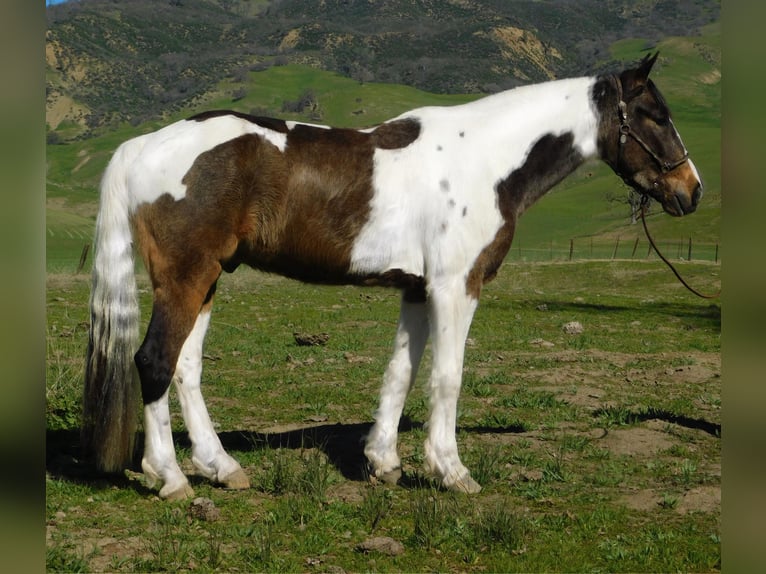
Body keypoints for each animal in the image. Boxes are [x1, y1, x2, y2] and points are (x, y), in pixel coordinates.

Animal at [82, 55, 704, 504]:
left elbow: (401, 372)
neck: (485, 161)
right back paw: (170, 478)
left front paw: (384, 463)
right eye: (655, 114)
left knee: (186, 367)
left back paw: (222, 468)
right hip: (186, 277)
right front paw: (451, 471)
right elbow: (447, 377)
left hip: (206, 279)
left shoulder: (417, 289)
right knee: (155, 362)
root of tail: (142, 146)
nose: (691, 190)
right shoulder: (456, 285)